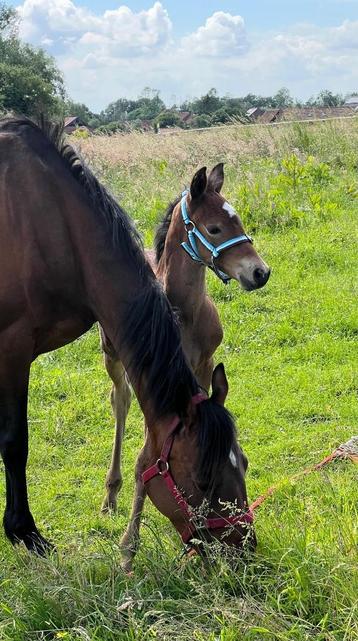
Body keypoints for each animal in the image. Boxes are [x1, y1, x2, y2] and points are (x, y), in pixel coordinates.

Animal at [0, 120, 252, 560]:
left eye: (245, 463)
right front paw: (25, 532)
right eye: (203, 479)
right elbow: (15, 442)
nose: (244, 549)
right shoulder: (13, 346)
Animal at [99, 162, 270, 568]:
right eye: (214, 228)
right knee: (119, 402)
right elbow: (144, 458)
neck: (184, 312)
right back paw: (110, 493)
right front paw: (129, 548)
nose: (260, 273)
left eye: (239, 219)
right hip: (112, 356)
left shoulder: (203, 368)